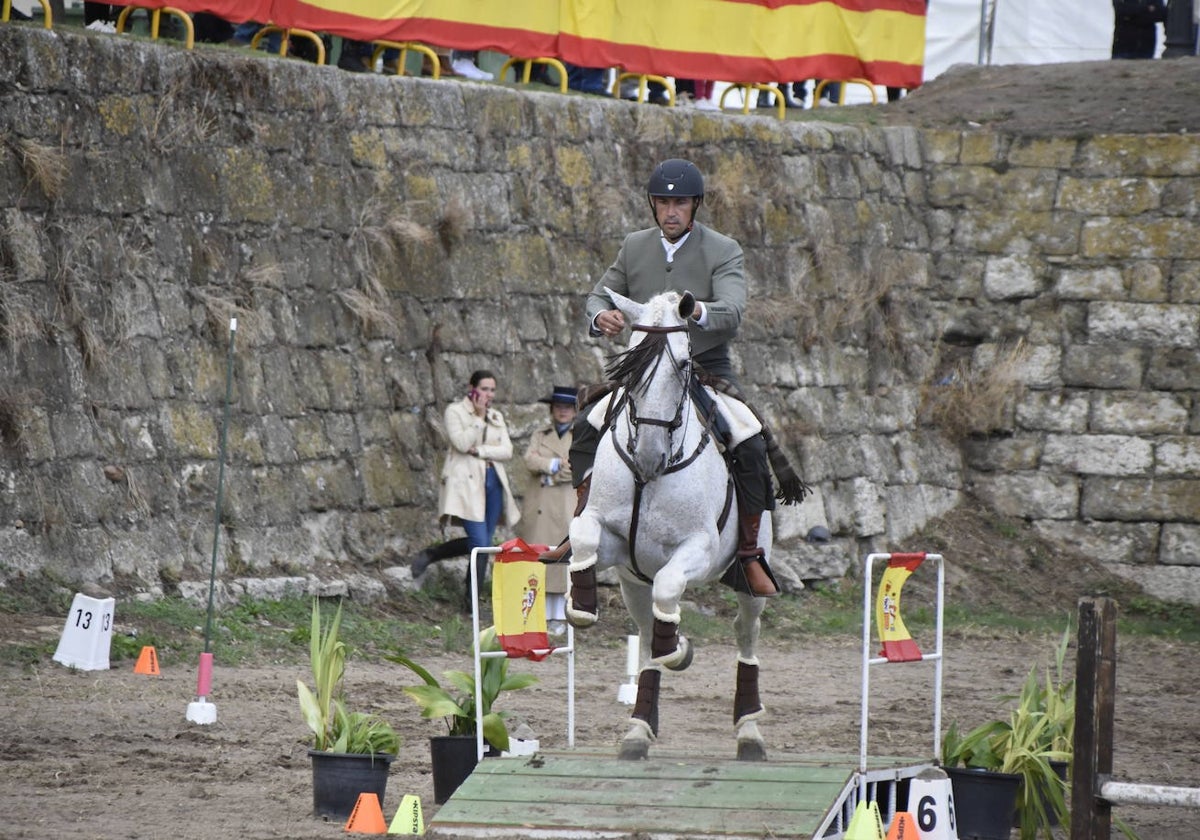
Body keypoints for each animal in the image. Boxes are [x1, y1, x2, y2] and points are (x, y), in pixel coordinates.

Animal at [568, 289, 768, 763]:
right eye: (630, 360)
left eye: (683, 363)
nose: (648, 457)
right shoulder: (614, 541)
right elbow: (583, 537)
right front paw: (580, 606)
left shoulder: (698, 549)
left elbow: (670, 586)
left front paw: (679, 650)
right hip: (630, 581)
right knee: (644, 637)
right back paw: (638, 728)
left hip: (749, 581)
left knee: (744, 632)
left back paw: (749, 731)